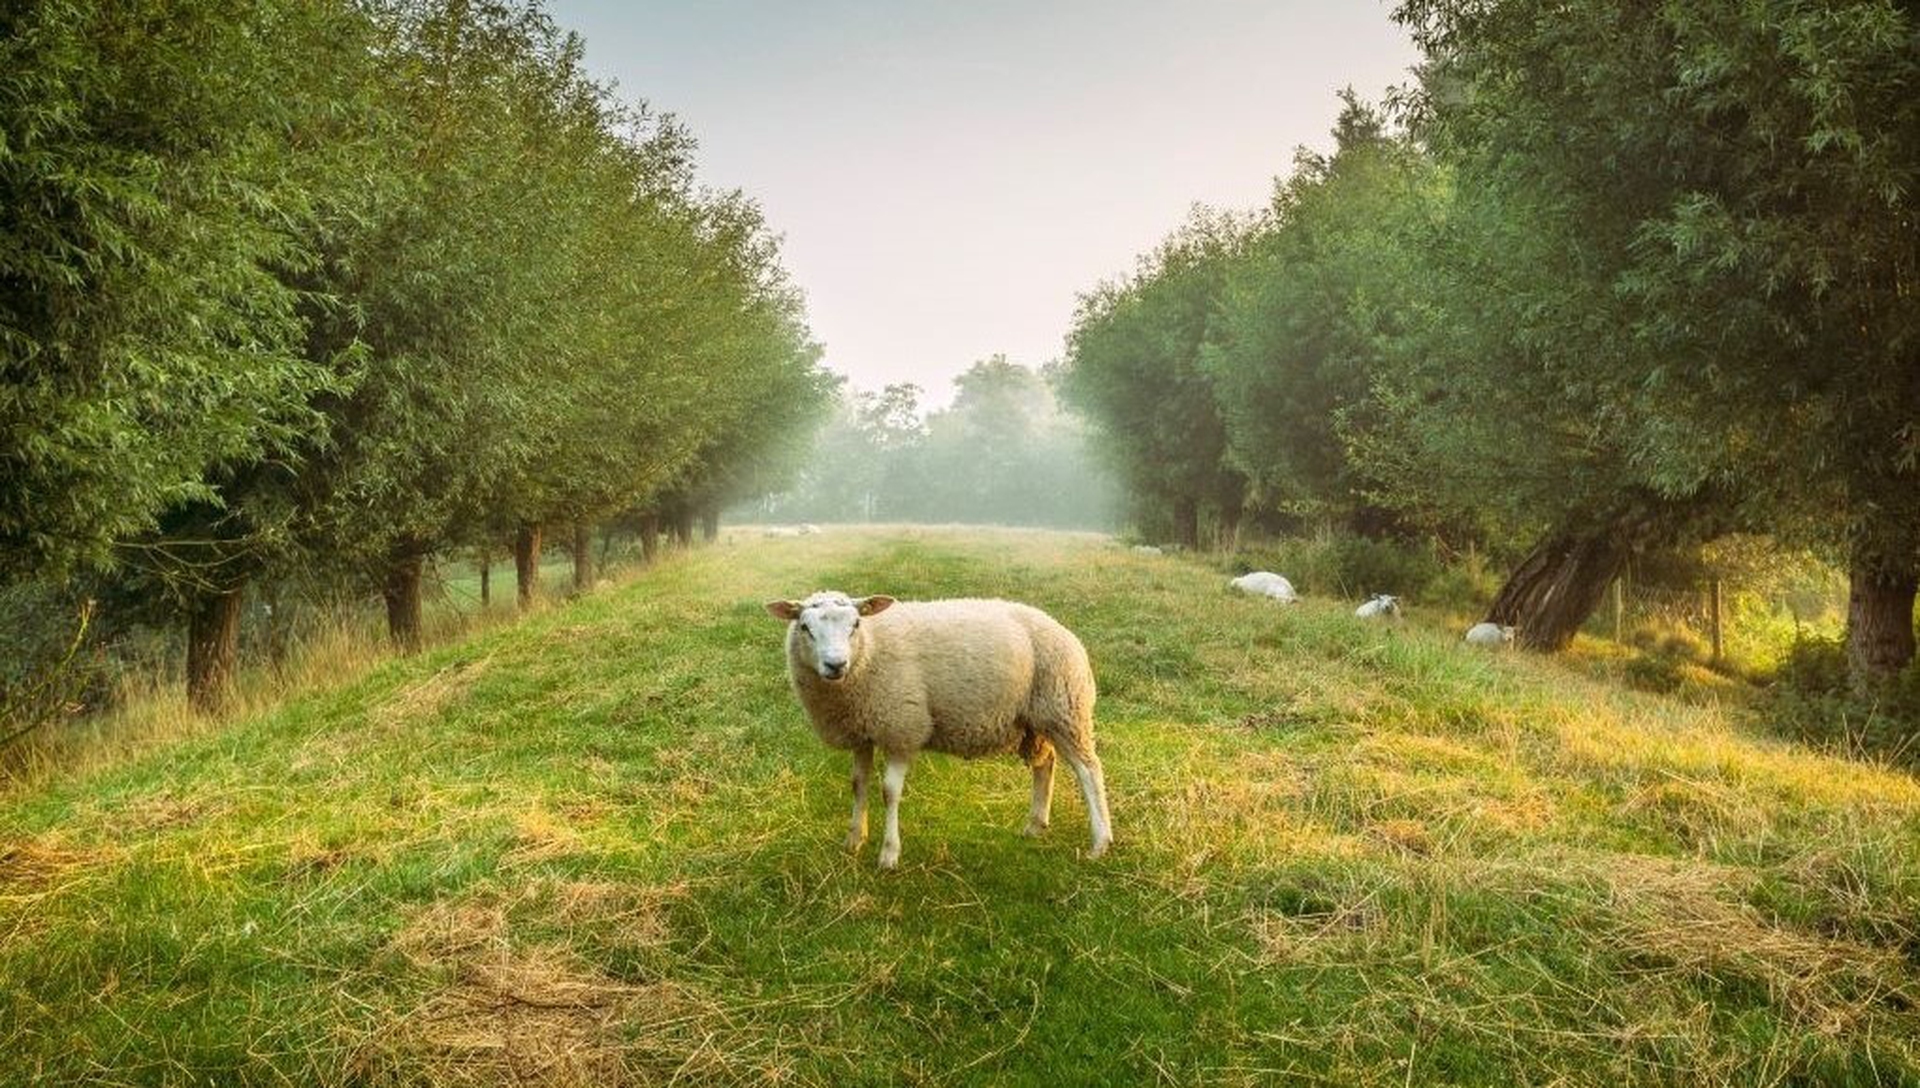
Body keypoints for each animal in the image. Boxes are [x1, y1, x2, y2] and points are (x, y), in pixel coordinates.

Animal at [765, 590, 1112, 869]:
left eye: (856, 625)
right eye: (805, 627)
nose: (836, 665)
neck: (869, 651)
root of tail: (1061, 628)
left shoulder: (902, 728)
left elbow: (889, 792)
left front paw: (889, 854)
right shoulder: (862, 732)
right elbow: (858, 785)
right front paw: (854, 840)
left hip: (1064, 708)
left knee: (1089, 770)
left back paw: (1100, 842)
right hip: (1034, 720)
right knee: (1046, 764)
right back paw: (1035, 826)